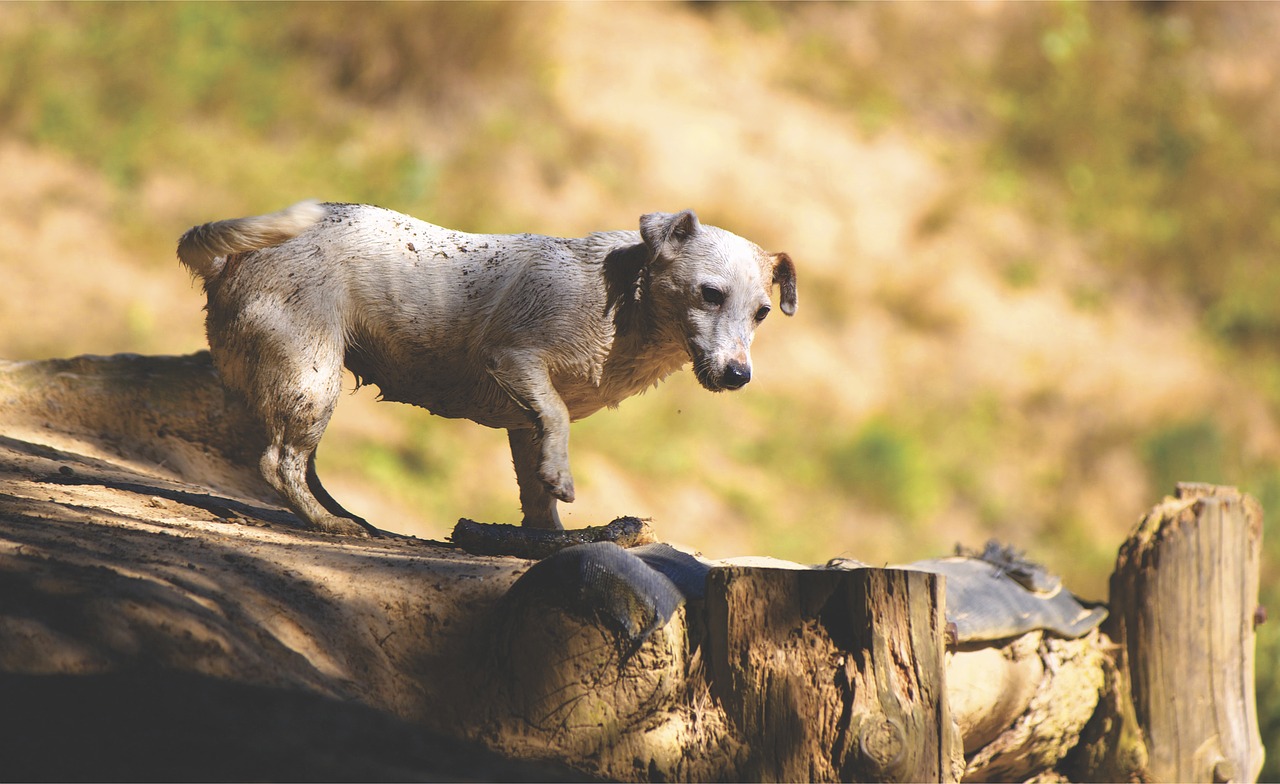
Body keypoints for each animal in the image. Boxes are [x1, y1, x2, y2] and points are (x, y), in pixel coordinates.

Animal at [177, 202, 798, 535]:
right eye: (710, 294)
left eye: (763, 313)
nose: (739, 375)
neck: (623, 301)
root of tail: (230, 257)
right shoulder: (513, 360)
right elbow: (558, 420)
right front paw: (564, 479)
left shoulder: (525, 425)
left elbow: (537, 491)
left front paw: (551, 533)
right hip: (311, 376)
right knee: (277, 462)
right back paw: (328, 522)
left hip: (300, 382)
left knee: (298, 463)